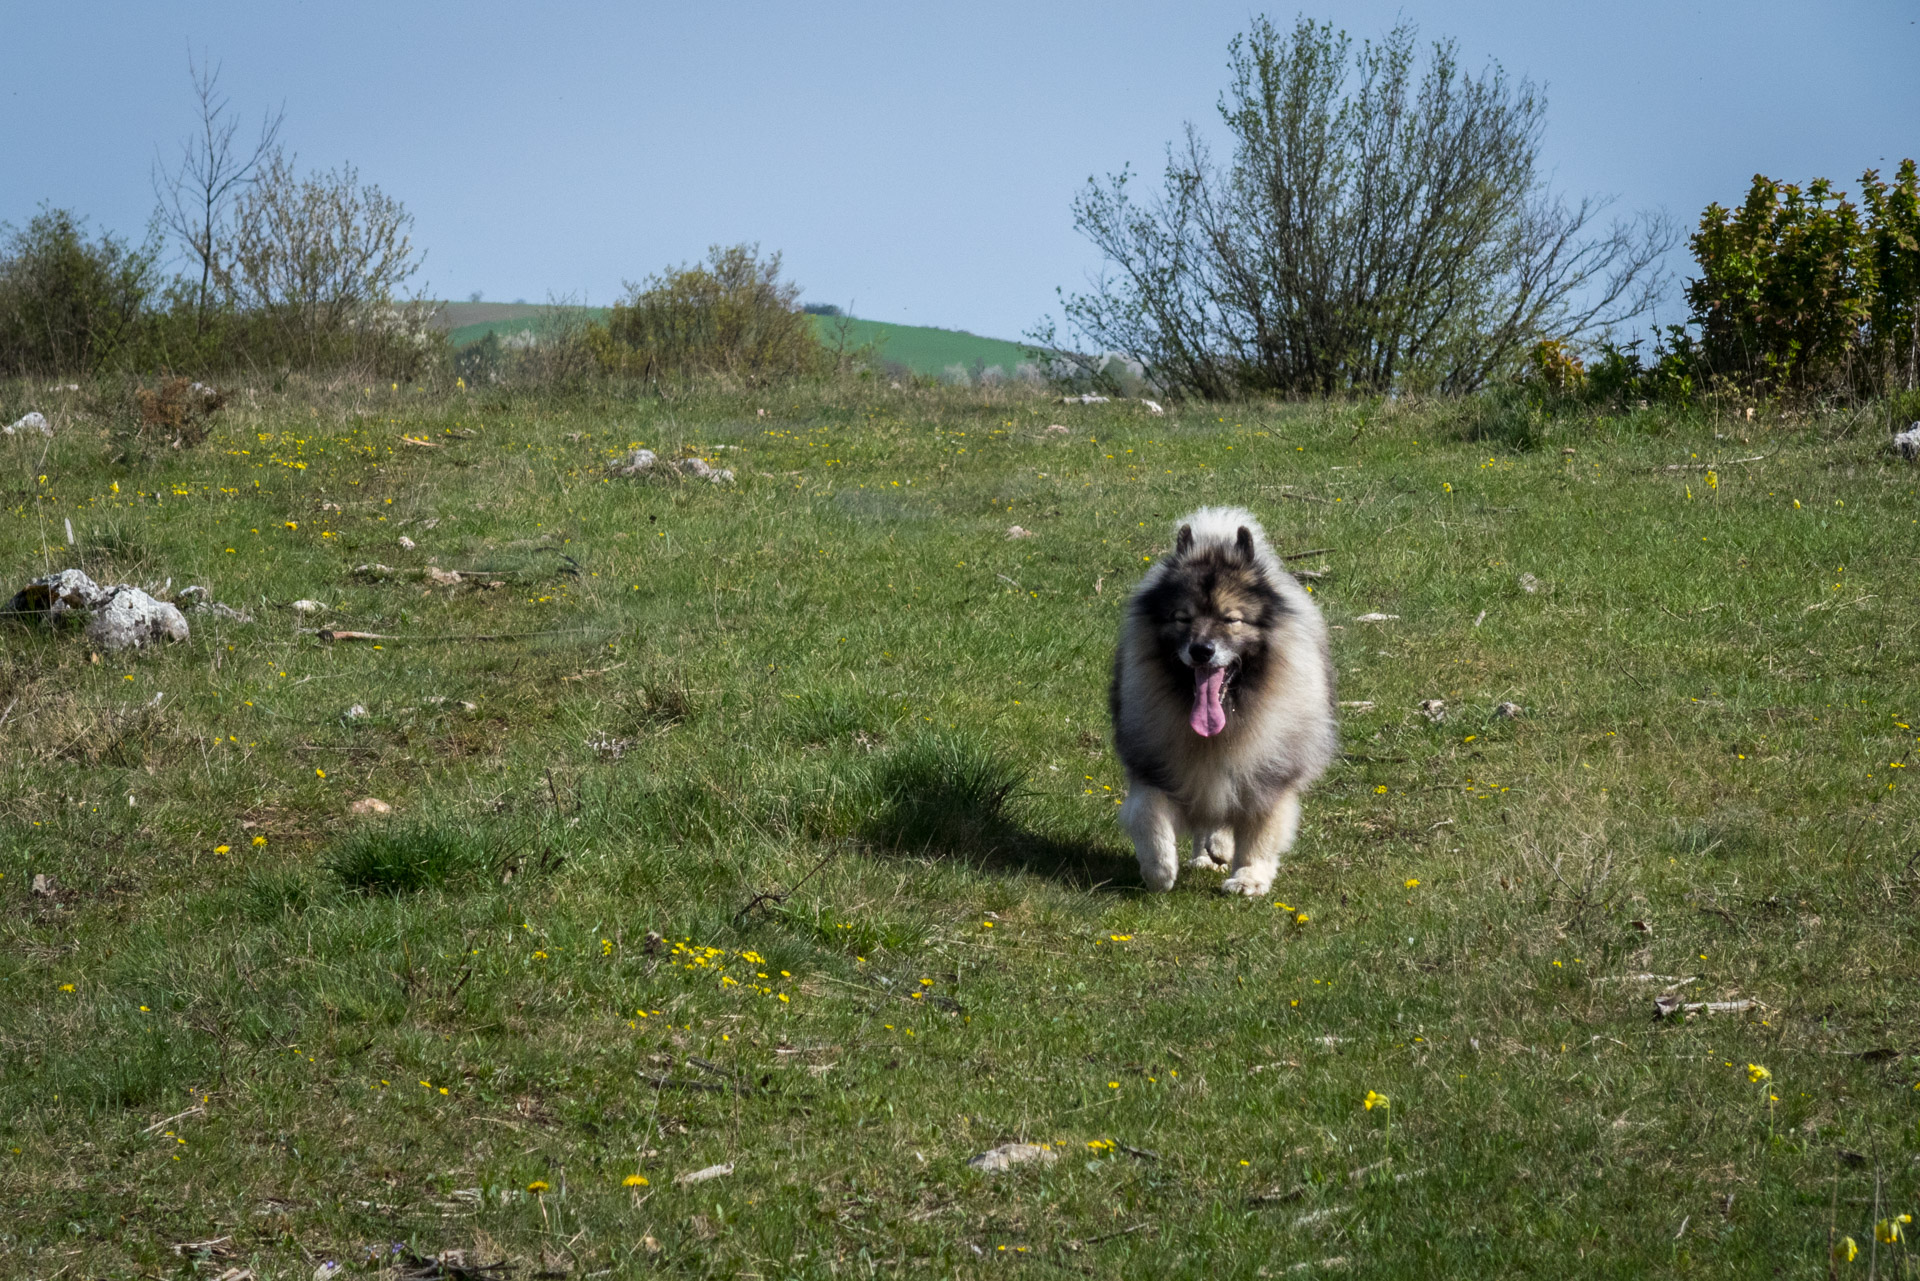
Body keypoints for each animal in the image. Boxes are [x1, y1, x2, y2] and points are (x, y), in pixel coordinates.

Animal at [1113, 507, 1336, 898]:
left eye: (1231, 619)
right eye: (1182, 618)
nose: (1202, 650)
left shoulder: (1267, 776)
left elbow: (1260, 832)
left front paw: (1249, 878)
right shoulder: (1155, 766)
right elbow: (1148, 813)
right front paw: (1159, 869)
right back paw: (1206, 854)